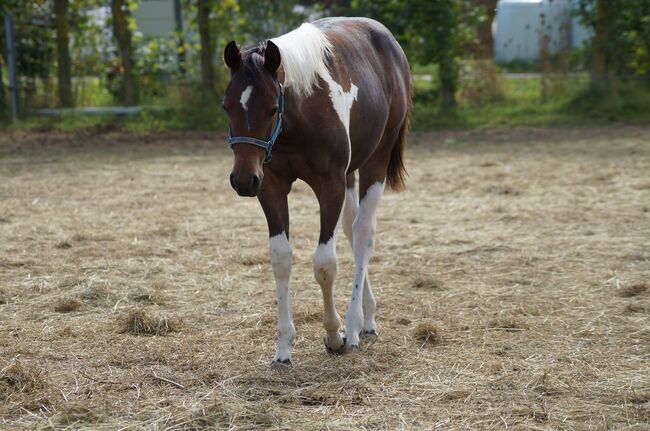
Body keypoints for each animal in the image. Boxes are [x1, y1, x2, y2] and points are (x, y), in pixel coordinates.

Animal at [223, 16, 410, 368]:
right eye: (226, 106)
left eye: (272, 108)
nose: (243, 180)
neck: (300, 115)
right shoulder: (271, 187)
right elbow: (281, 259)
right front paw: (283, 348)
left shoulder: (330, 185)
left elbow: (325, 264)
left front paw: (334, 335)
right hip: (350, 175)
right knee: (351, 231)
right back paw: (367, 318)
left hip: (375, 162)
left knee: (363, 235)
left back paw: (354, 326)